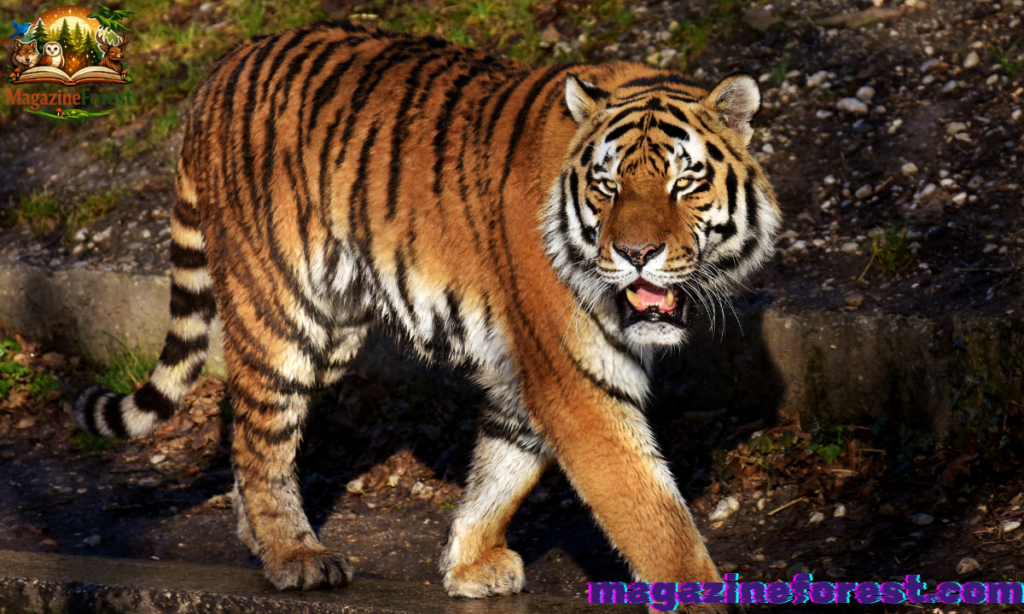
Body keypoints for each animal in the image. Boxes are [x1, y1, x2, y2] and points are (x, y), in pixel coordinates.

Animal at [73, 20, 780, 608]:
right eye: (608, 187)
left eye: (684, 183)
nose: (635, 254)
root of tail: (221, 71)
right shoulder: (575, 377)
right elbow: (654, 515)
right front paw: (701, 597)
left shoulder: (528, 372)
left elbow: (503, 467)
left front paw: (467, 565)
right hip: (280, 312)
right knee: (261, 434)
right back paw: (294, 556)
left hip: (334, 330)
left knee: (248, 428)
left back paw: (261, 538)